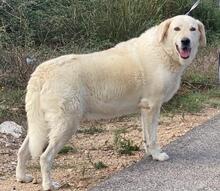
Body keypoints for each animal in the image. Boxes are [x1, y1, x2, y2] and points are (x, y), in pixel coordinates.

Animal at [15, 14, 206, 190]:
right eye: (176, 29)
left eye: (192, 29)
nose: (185, 41)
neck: (164, 50)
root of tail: (42, 70)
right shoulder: (153, 106)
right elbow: (152, 137)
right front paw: (157, 155)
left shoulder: (144, 108)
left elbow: (146, 136)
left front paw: (149, 154)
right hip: (66, 124)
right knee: (44, 157)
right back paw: (49, 184)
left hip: (41, 125)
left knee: (22, 151)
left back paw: (22, 177)